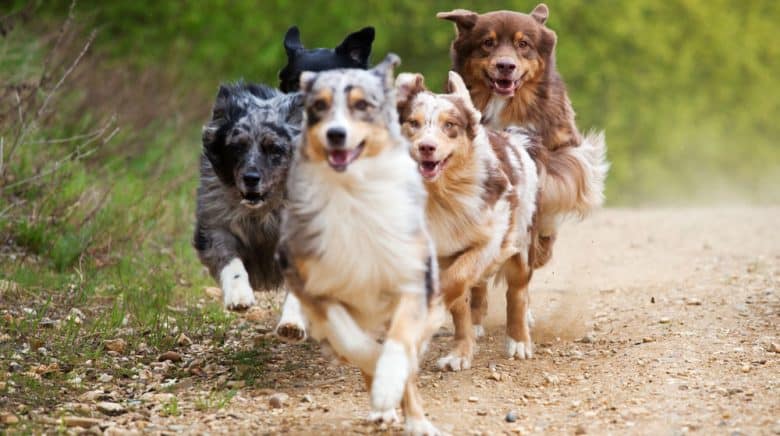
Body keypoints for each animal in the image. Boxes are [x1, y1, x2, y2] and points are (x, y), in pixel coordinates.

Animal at [278, 56, 444, 434]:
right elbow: (354, 344)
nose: (336, 134)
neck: (353, 192)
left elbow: (401, 342)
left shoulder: (412, 277)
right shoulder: (314, 284)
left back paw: (417, 421)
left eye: (362, 105)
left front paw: (389, 383)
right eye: (319, 106)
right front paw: (378, 381)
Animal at [396, 71, 608, 372]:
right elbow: (458, 300)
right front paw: (459, 353)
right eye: (413, 123)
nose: (426, 147)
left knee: (517, 293)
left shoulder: (493, 237)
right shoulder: (440, 250)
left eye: (449, 125)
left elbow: (457, 281)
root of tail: (519, 139)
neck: (442, 194)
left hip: (522, 242)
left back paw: (519, 342)